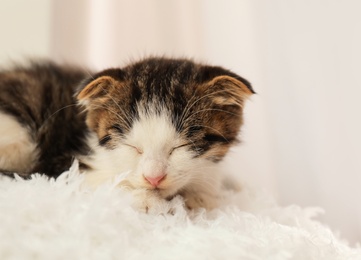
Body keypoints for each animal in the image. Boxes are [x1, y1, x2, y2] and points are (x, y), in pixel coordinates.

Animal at [0, 57, 253, 211]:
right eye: (133, 146)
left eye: (180, 147)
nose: (154, 178)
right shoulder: (63, 164)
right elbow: (94, 181)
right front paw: (148, 201)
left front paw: (200, 196)